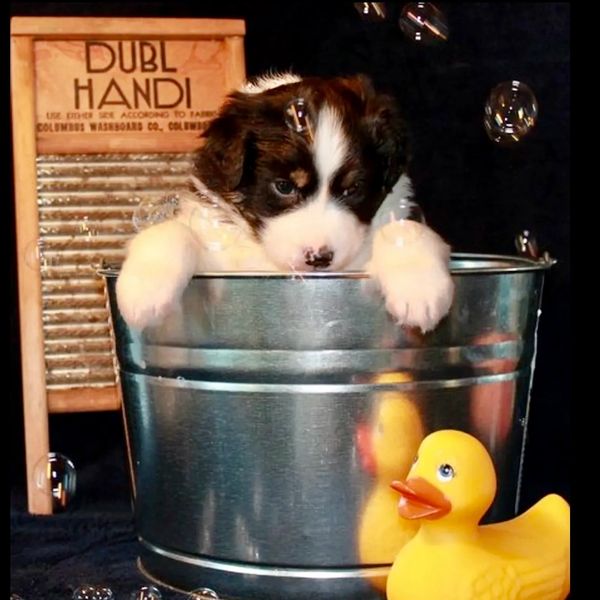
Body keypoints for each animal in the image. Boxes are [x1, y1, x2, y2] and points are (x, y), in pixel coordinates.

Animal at [116, 74, 454, 332]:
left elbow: (406, 230)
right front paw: (143, 292)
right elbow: (171, 231)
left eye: (353, 189)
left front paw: (421, 291)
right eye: (284, 187)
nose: (319, 258)